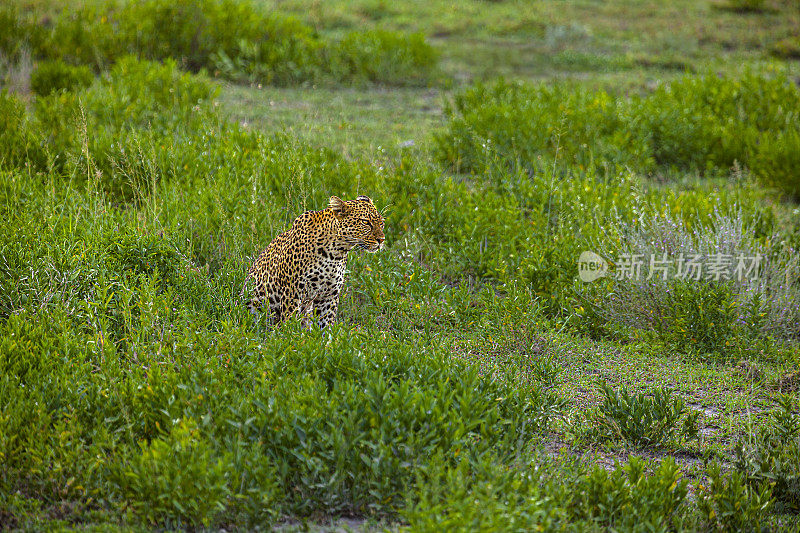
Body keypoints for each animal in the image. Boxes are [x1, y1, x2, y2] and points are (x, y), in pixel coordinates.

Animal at [245, 195, 386, 326]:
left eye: (381, 223)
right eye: (365, 222)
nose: (382, 240)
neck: (335, 253)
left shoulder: (329, 295)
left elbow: (326, 325)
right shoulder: (293, 291)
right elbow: (290, 321)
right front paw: (290, 334)